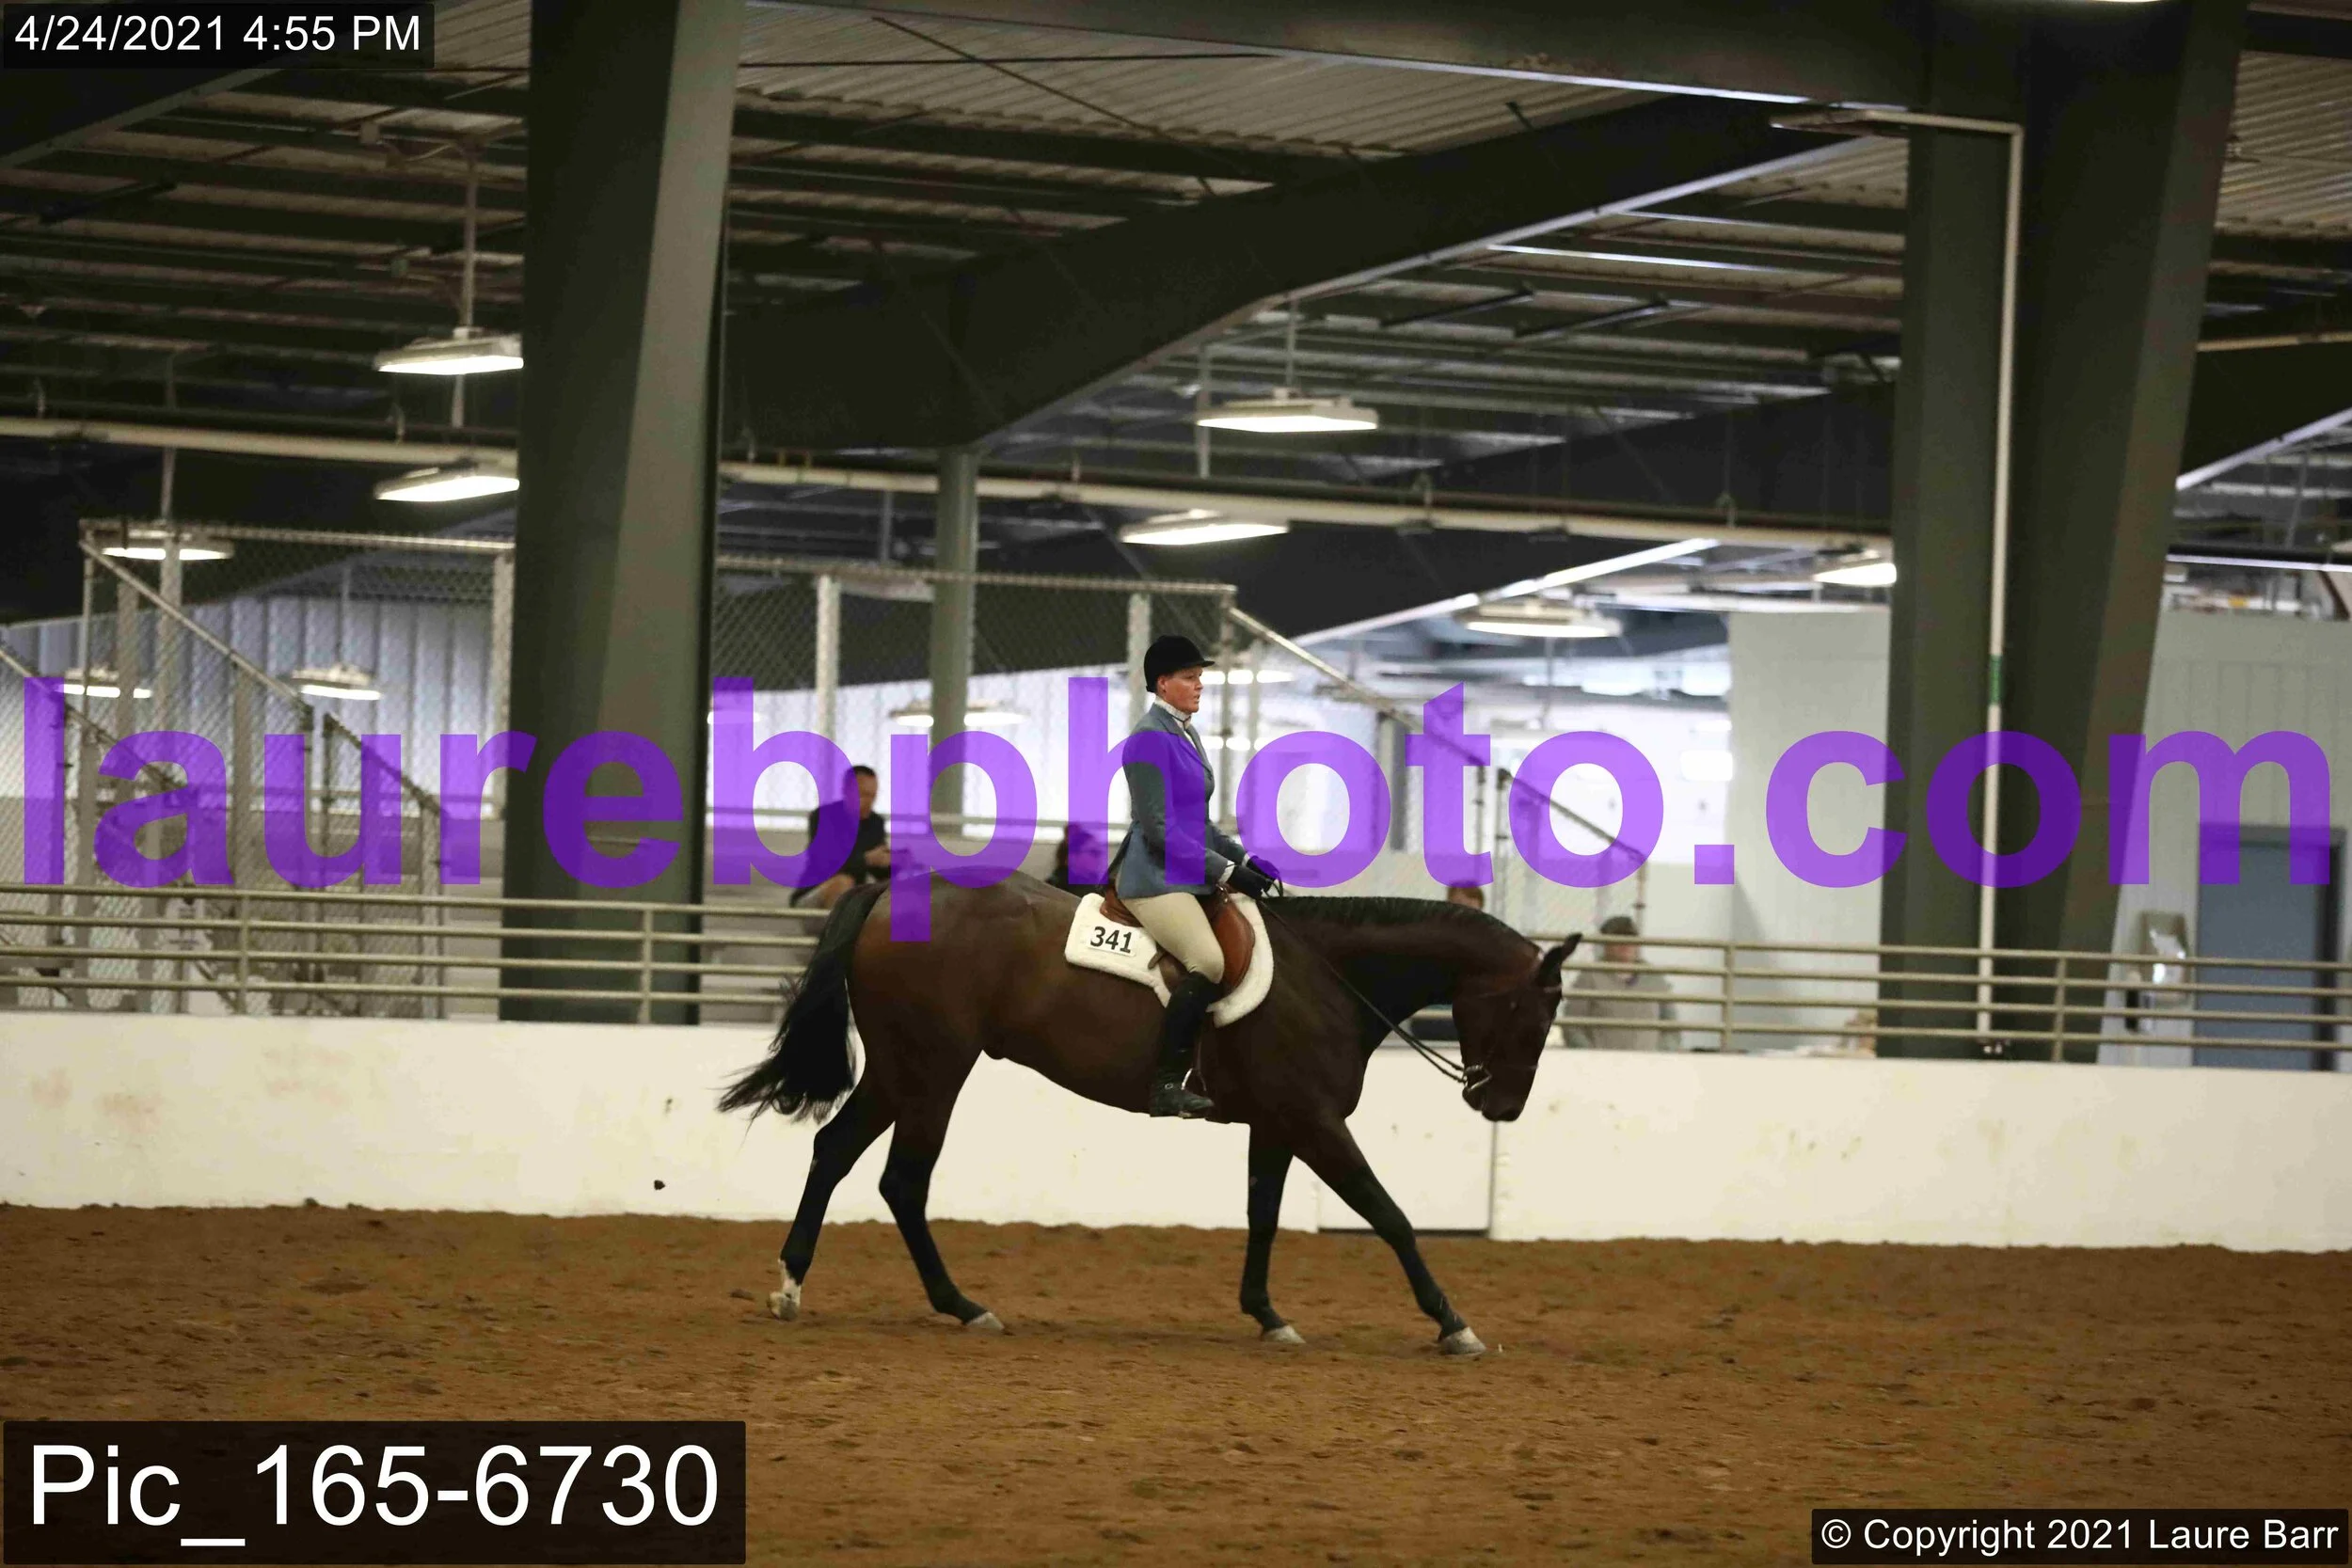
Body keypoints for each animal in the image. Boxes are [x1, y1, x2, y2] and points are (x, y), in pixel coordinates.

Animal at [719, 874, 1576, 1355]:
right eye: (1534, 1014)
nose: (1500, 1104)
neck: (1327, 975)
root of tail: (890, 895)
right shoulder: (1316, 1121)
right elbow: (1389, 1215)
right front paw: (1453, 1324)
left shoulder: (1279, 1123)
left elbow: (1263, 1214)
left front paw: (1267, 1315)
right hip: (932, 1069)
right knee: (901, 1180)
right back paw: (960, 1305)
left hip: (904, 1070)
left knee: (837, 1151)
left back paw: (796, 1287)